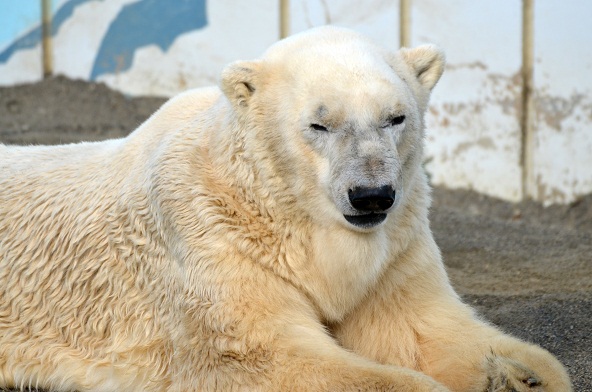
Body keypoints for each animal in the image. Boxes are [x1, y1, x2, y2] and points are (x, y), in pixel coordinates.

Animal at [0, 26, 572, 390]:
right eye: (319, 124)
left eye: (396, 117)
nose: (371, 195)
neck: (286, 215)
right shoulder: (212, 239)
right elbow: (268, 355)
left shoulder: (395, 243)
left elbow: (416, 329)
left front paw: (520, 374)